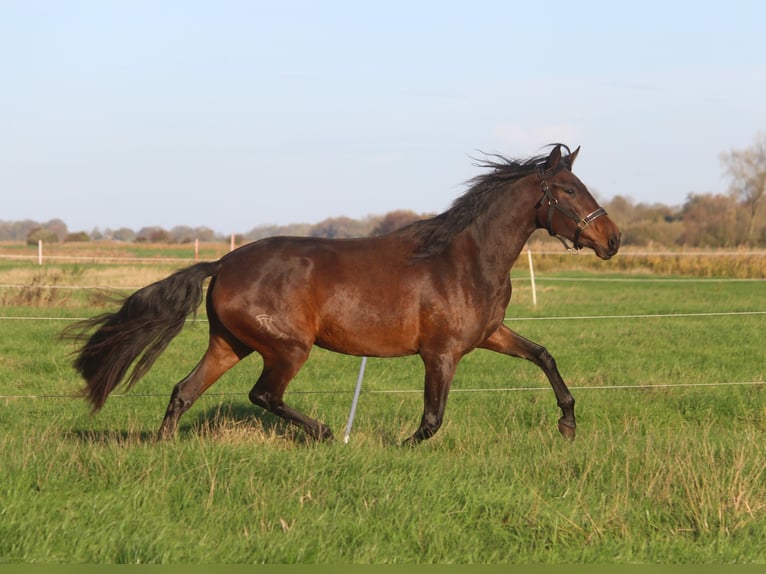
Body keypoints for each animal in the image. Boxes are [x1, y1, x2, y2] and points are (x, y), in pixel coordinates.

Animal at [67, 143, 624, 446]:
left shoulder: (489, 335)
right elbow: (431, 420)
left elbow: (544, 356)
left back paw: (164, 449)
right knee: (263, 395)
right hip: (287, 348)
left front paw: (568, 424)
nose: (613, 239)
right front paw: (396, 445)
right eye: (569, 190)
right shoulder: (440, 353)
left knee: (183, 390)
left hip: (231, 344)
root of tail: (222, 264)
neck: (464, 259)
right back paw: (326, 434)